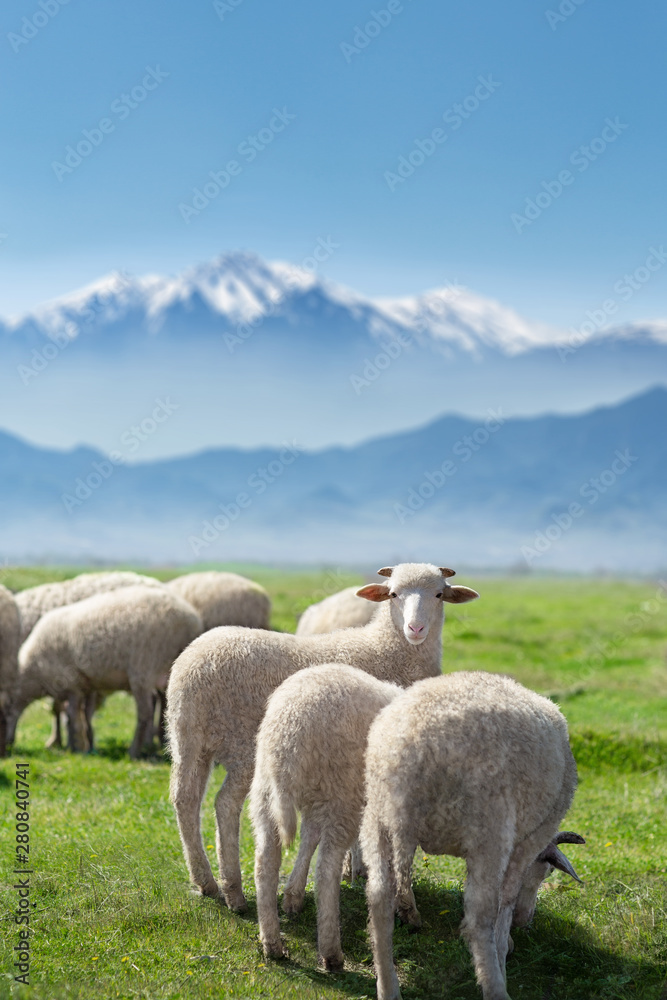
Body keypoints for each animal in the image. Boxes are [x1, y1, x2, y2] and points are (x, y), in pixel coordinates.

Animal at [8, 586, 202, 758]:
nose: (8, 746)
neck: (32, 675)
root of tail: (191, 620)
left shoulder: (71, 684)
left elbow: (72, 717)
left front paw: (75, 747)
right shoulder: (85, 685)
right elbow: (83, 715)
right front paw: (87, 745)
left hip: (143, 668)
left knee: (145, 712)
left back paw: (133, 752)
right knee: (164, 706)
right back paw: (161, 746)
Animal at [167, 562, 479, 912]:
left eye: (439, 594)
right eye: (393, 594)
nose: (416, 628)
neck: (387, 648)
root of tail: (193, 667)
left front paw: (353, 869)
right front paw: (356, 869)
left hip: (187, 738)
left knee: (185, 800)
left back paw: (204, 881)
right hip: (241, 745)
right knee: (224, 805)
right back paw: (233, 888)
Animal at [250, 663, 401, 970]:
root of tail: (289, 731)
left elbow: (309, 837)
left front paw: (293, 896)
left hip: (266, 791)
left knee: (266, 863)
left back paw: (272, 943)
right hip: (341, 791)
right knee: (325, 871)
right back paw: (331, 953)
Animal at [360, 671, 585, 1000]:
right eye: (546, 872)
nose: (526, 921)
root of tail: (411, 745)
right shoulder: (527, 841)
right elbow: (505, 901)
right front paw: (504, 951)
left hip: (378, 817)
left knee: (378, 901)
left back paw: (388, 988)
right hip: (489, 827)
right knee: (479, 919)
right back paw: (495, 988)